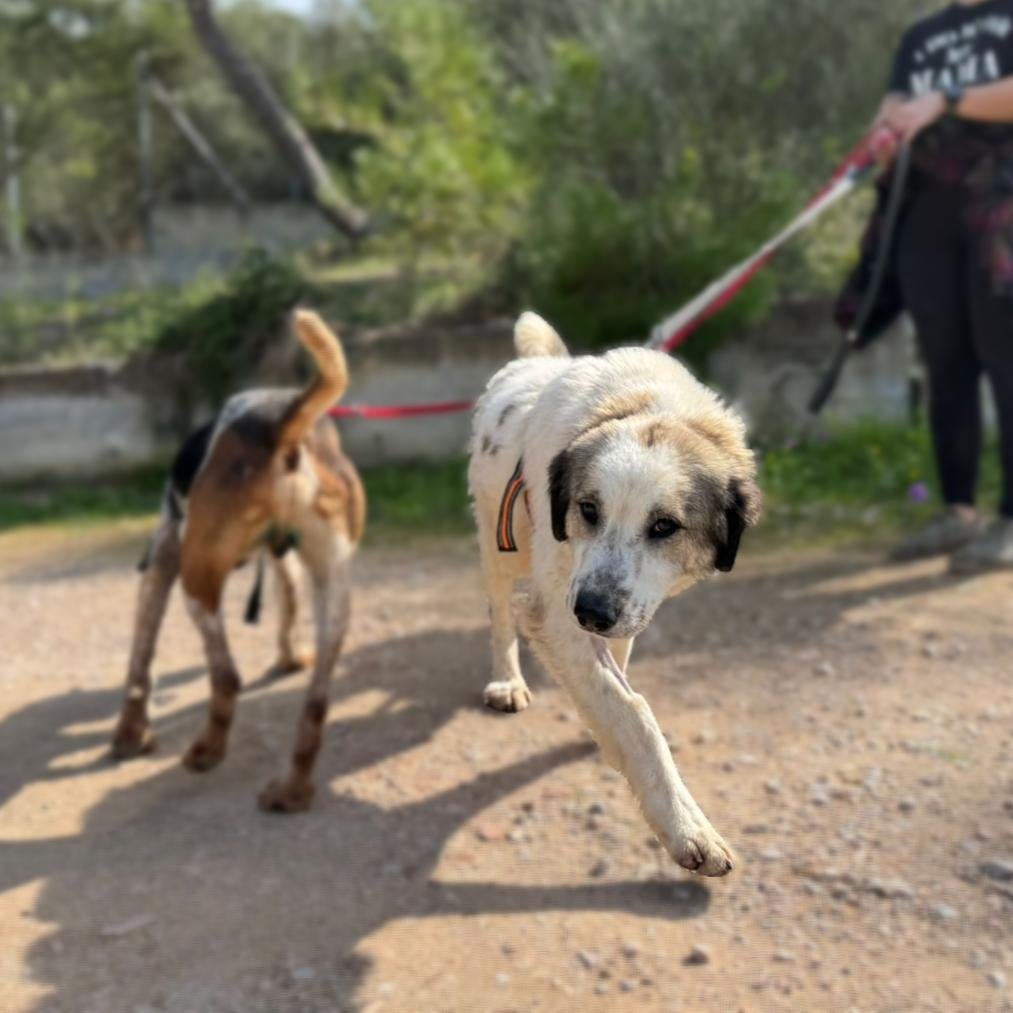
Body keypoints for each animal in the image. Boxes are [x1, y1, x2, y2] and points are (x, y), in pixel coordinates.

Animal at [110, 310, 365, 812]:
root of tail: (283, 428)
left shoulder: (162, 560)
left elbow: (139, 660)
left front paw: (130, 735)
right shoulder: (284, 558)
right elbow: (288, 604)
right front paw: (289, 658)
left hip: (196, 582)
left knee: (227, 677)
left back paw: (208, 750)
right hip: (334, 588)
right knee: (315, 704)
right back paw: (292, 789)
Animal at [468, 313, 760, 876]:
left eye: (665, 526)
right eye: (587, 509)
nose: (591, 612)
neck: (645, 402)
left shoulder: (622, 613)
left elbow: (616, 685)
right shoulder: (553, 612)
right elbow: (635, 714)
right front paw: (688, 828)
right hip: (499, 542)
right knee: (498, 611)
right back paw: (506, 680)